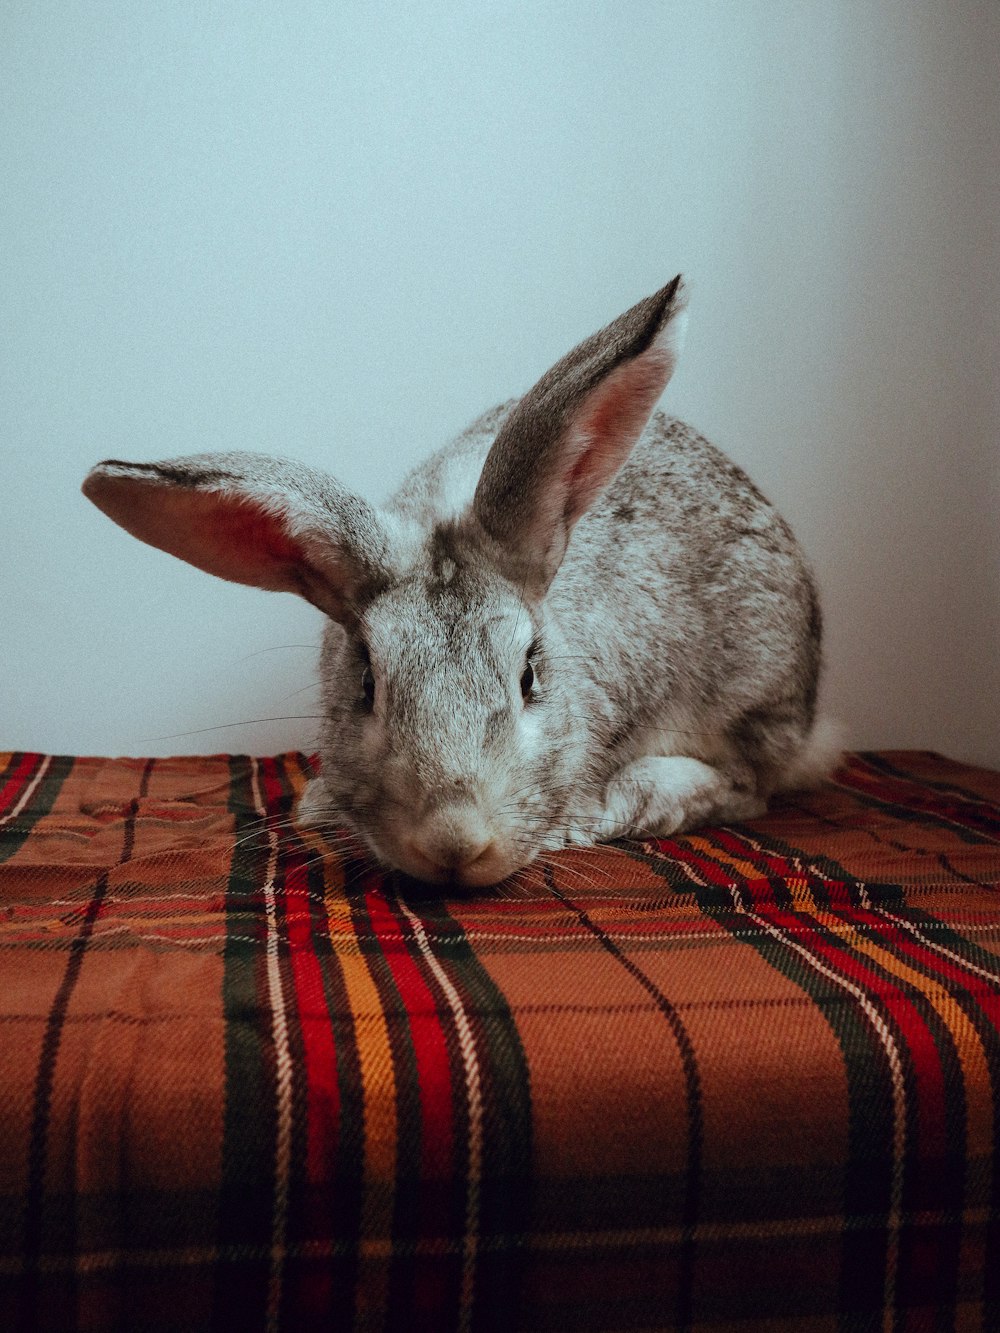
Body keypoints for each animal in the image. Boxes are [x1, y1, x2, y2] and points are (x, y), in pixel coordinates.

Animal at [84, 278, 837, 885]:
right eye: (367, 684)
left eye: (529, 677)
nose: (454, 840)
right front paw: (319, 804)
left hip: (755, 687)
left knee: (748, 786)